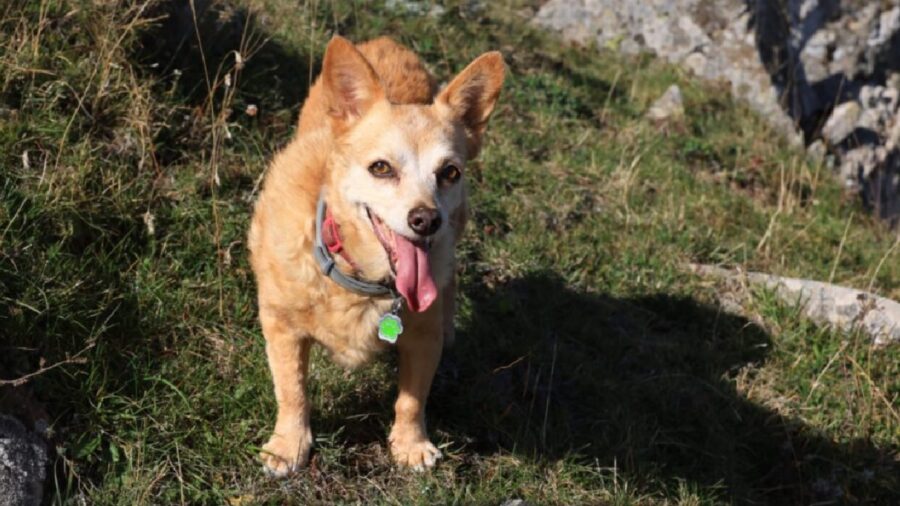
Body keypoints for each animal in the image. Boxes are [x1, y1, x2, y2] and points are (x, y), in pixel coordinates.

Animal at [248, 36, 506, 474]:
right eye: (381, 168)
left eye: (450, 172)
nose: (427, 220)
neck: (363, 277)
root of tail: (389, 42)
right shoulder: (281, 326)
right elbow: (292, 390)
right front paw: (288, 445)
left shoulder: (421, 337)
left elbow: (412, 399)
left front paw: (410, 444)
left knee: (451, 279)